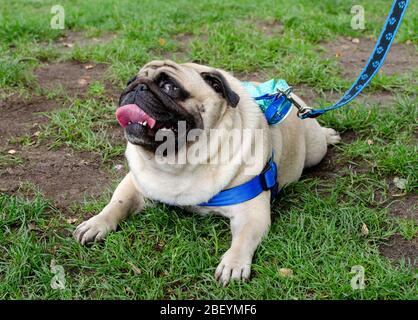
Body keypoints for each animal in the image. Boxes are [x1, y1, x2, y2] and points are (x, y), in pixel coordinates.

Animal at [73, 59, 340, 284]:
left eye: (169, 86)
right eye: (130, 81)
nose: (136, 88)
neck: (179, 162)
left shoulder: (252, 213)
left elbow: (243, 239)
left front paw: (233, 264)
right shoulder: (135, 183)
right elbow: (117, 203)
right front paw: (96, 223)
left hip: (314, 150)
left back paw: (329, 134)